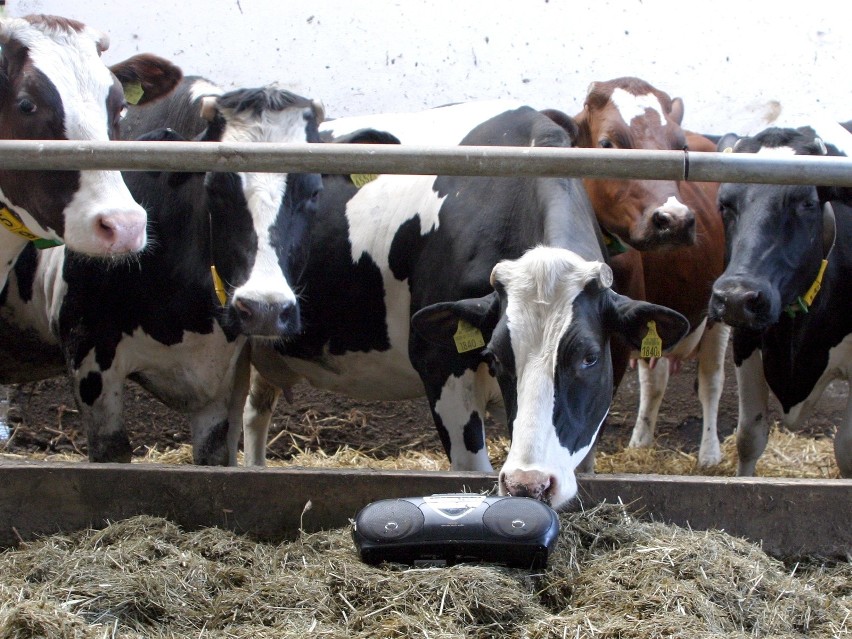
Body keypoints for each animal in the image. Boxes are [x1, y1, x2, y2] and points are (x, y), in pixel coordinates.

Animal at [243, 102, 688, 508]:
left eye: (590, 357)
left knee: (254, 411)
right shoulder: (440, 365)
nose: (529, 486)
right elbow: (472, 470)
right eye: (496, 355)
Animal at [568, 77, 728, 464]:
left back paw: (710, 453)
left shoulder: (615, 341)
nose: (675, 220)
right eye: (607, 144)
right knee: (654, 382)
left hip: (720, 310)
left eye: (679, 147)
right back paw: (640, 441)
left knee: (711, 381)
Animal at [704, 125, 852, 478]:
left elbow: (846, 448)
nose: (736, 297)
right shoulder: (745, 341)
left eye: (807, 202)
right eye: (724, 203)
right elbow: (749, 437)